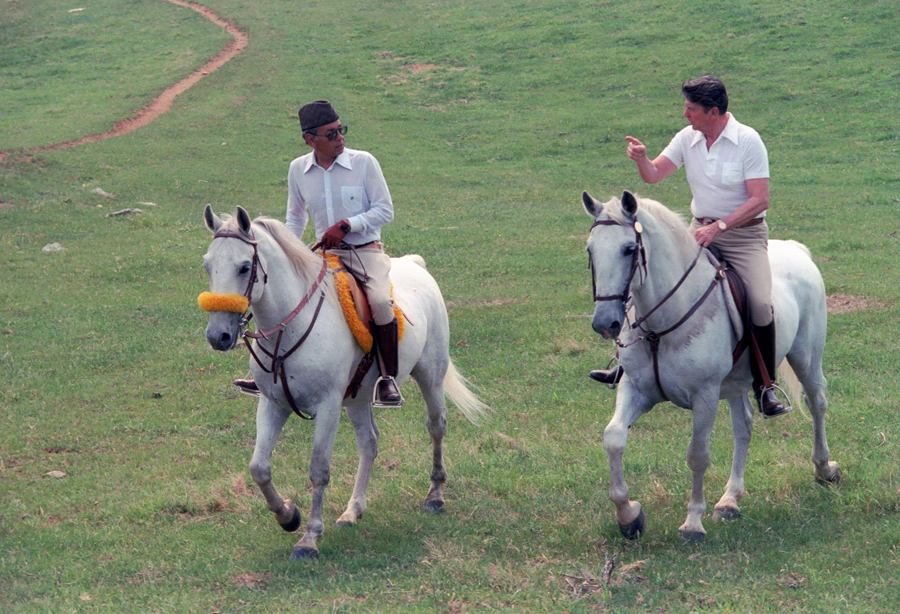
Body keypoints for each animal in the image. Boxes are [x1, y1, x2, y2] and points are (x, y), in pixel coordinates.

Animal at [201, 206, 488, 560]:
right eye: (208, 265)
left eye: (244, 267)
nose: (218, 336)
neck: (292, 327)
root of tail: (415, 264)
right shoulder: (272, 404)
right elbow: (259, 468)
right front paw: (287, 516)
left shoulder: (327, 407)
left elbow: (318, 470)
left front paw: (309, 538)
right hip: (357, 398)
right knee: (369, 442)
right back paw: (353, 511)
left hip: (430, 375)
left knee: (436, 426)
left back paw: (434, 496)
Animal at [580, 191, 840, 544]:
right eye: (590, 249)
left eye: (629, 249)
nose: (605, 324)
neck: (660, 330)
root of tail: (795, 249)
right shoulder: (635, 389)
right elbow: (614, 437)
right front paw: (629, 516)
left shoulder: (704, 397)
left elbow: (697, 455)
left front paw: (692, 523)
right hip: (736, 382)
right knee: (744, 426)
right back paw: (730, 500)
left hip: (806, 358)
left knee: (817, 403)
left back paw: (824, 469)